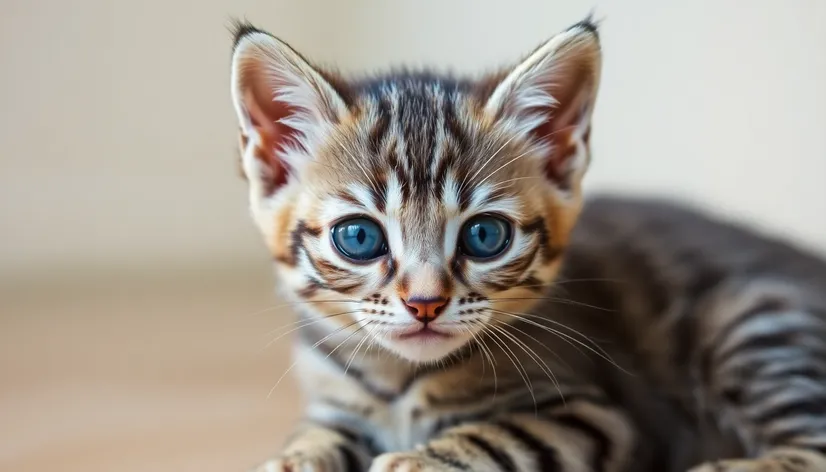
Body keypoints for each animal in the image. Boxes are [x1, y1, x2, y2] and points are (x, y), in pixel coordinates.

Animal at [227, 16, 824, 472]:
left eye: (485, 235)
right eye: (359, 236)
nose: (425, 303)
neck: (396, 380)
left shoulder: (602, 415)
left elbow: (500, 433)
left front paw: (417, 460)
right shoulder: (332, 404)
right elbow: (314, 436)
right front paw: (293, 459)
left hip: (751, 319)